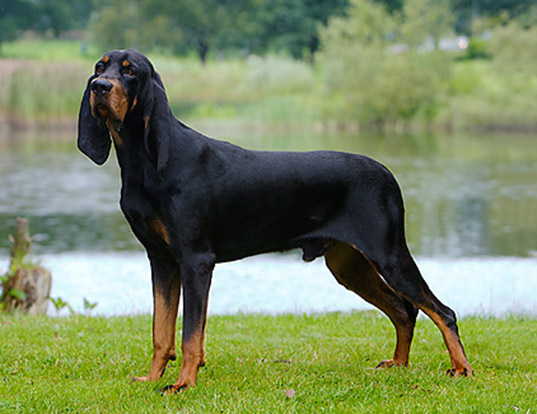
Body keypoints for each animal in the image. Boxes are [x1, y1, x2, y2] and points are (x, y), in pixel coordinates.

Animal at [77, 50, 472, 392]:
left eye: (130, 71)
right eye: (100, 66)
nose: (99, 87)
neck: (145, 163)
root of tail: (389, 174)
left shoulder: (195, 261)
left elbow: (190, 335)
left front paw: (183, 384)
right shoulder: (161, 260)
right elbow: (161, 332)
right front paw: (152, 378)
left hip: (389, 255)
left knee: (442, 311)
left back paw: (461, 368)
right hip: (349, 265)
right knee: (403, 310)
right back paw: (399, 364)